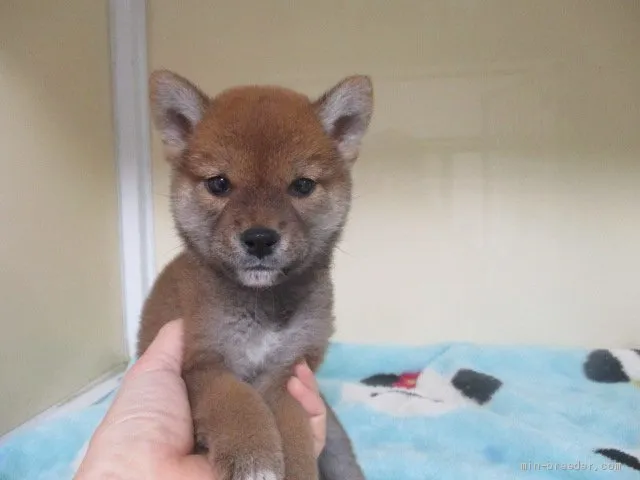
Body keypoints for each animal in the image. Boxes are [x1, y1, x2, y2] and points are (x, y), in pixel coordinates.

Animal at [138, 68, 372, 480]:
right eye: (219, 183)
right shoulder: (202, 364)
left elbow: (293, 428)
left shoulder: (288, 373)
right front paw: (253, 457)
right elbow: (237, 401)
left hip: (338, 445)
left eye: (302, 185)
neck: (262, 305)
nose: (260, 239)